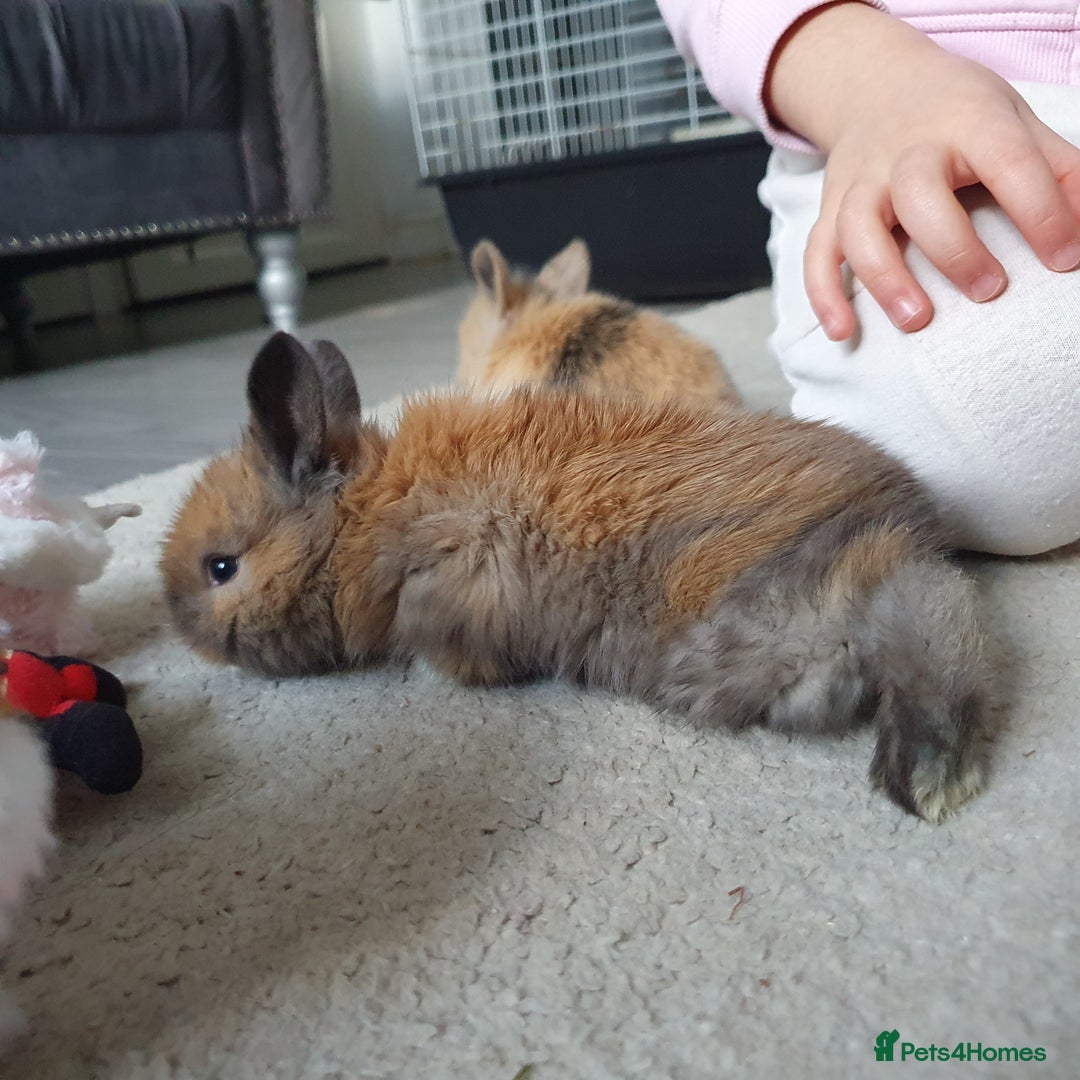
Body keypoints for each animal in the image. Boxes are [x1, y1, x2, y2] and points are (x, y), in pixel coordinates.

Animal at [161, 332, 991, 823]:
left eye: (221, 568)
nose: (184, 636)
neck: (360, 520)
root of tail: (904, 514)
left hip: (774, 616)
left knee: (936, 628)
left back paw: (926, 777)